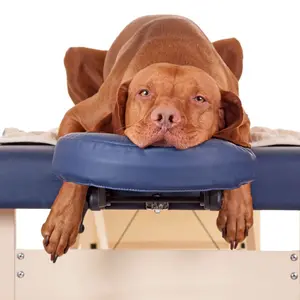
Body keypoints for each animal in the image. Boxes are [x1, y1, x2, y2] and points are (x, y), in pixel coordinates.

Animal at [41, 15, 253, 262]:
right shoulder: (76, 115)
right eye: (144, 93)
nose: (166, 116)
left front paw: (236, 212)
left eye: (199, 98)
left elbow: (241, 148)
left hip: (234, 45)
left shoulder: (244, 121)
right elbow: (75, 163)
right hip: (73, 56)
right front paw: (62, 223)